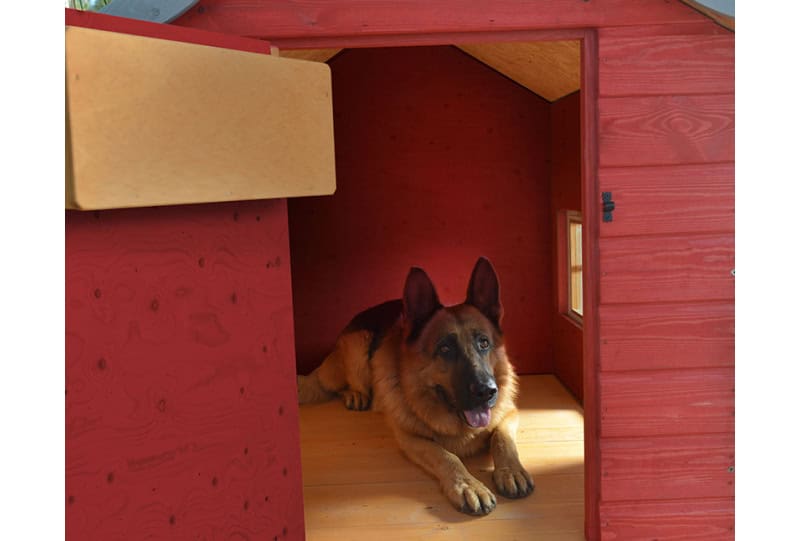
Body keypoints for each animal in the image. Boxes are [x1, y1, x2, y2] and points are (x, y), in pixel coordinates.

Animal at [296, 258, 536, 516]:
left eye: (484, 343)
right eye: (445, 349)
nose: (487, 392)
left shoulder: (508, 413)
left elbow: (503, 440)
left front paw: (511, 471)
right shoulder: (410, 438)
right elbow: (445, 455)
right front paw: (467, 485)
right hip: (359, 346)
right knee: (335, 383)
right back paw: (355, 394)